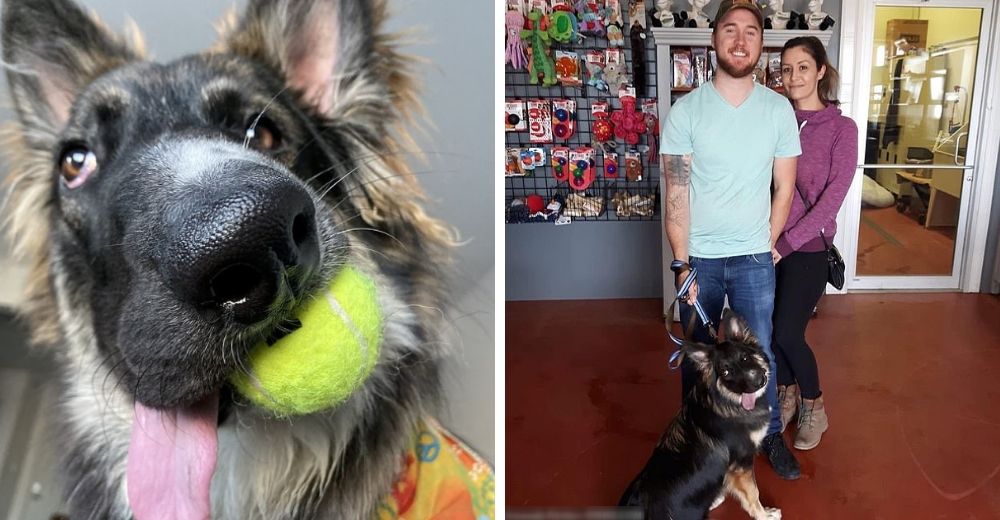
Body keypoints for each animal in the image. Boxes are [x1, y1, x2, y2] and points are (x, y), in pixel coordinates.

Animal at [616, 310, 780, 516]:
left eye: (745, 358)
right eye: (725, 372)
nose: (757, 383)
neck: (726, 402)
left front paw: (717, 497)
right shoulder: (741, 466)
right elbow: (753, 494)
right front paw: (764, 514)